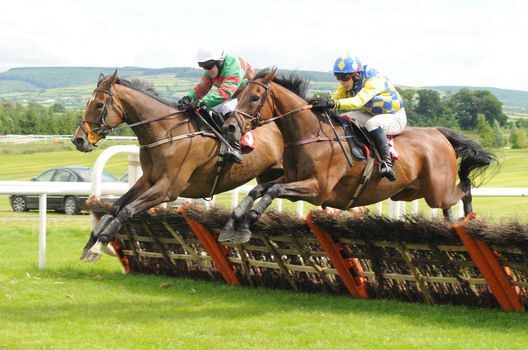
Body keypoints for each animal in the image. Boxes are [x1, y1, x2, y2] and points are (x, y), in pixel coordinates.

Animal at [71, 71, 284, 260]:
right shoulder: (147, 181)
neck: (167, 133)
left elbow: (126, 210)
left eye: (99, 105)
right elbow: (115, 206)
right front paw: (92, 242)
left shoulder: (167, 188)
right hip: (269, 174)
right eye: (89, 103)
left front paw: (99, 244)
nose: (79, 140)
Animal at [219, 68, 496, 243]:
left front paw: (248, 222)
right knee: (449, 204)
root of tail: (439, 132)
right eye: (239, 95)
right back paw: (453, 224)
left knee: (465, 188)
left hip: (437, 190)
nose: (230, 127)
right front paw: (233, 224)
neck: (311, 134)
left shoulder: (318, 188)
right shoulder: (290, 177)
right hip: (415, 191)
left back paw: (470, 220)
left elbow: (272, 191)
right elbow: (259, 189)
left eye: (255, 97)